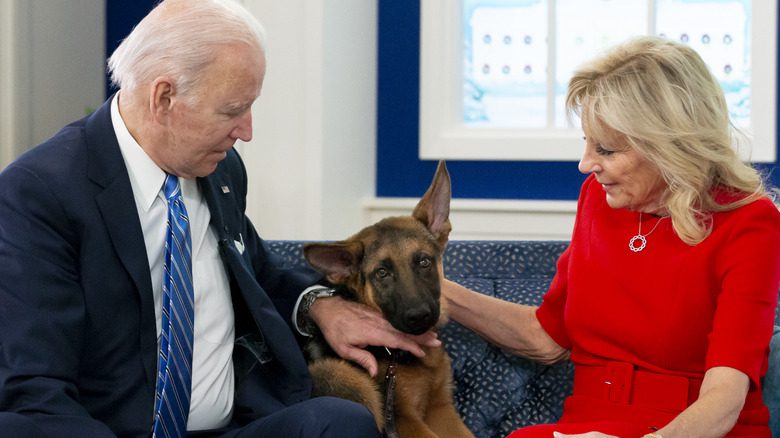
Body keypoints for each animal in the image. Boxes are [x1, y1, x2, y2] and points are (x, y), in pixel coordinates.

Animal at [302, 161, 472, 438]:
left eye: (423, 261)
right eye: (382, 273)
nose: (419, 316)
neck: (395, 354)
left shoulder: (440, 408)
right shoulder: (406, 419)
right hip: (340, 374)